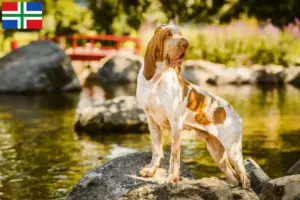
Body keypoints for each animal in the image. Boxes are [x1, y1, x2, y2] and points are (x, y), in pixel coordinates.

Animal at [136, 24, 251, 188]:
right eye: (168, 34)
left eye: (180, 34)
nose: (186, 43)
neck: (157, 79)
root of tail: (235, 113)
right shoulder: (151, 120)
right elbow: (156, 149)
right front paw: (151, 170)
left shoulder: (176, 124)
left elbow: (174, 155)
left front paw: (172, 178)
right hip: (217, 152)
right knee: (234, 177)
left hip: (233, 150)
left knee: (245, 177)